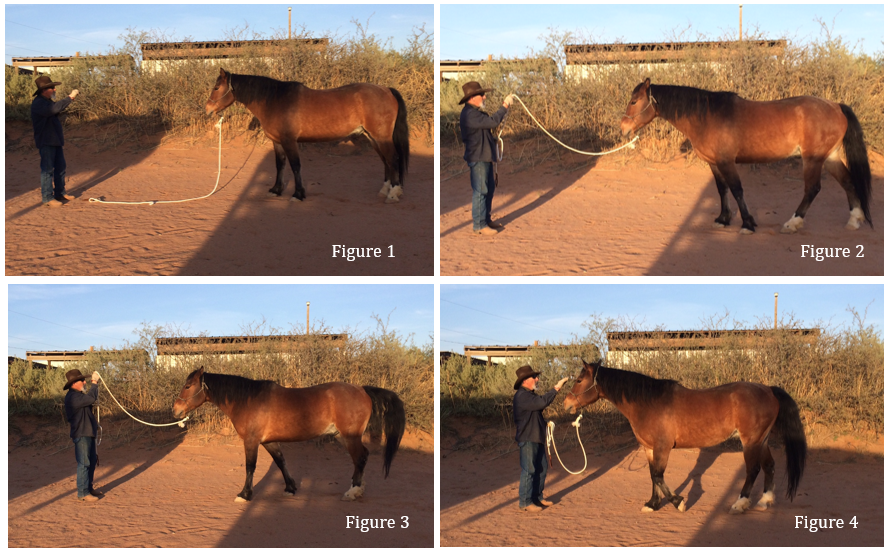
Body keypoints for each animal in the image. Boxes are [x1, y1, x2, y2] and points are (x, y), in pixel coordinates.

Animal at [172, 367, 405, 502]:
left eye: (188, 386)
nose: (175, 410)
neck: (248, 400)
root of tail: (362, 390)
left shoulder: (251, 441)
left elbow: (250, 467)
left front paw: (244, 494)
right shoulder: (269, 442)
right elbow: (281, 462)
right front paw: (290, 488)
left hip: (350, 436)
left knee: (361, 457)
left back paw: (353, 491)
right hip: (342, 435)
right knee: (361, 457)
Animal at [205, 68, 410, 204]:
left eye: (216, 87)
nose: (207, 108)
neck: (275, 101)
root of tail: (387, 90)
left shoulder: (289, 141)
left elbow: (295, 166)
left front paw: (298, 194)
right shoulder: (277, 142)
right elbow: (280, 165)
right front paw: (276, 190)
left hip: (381, 138)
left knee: (393, 159)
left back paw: (393, 194)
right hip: (373, 138)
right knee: (386, 161)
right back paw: (384, 190)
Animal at [564, 360, 806, 514]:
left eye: (579, 380)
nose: (566, 403)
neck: (647, 403)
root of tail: (768, 390)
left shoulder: (662, 447)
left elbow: (659, 476)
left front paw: (678, 502)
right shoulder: (649, 448)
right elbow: (652, 476)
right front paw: (652, 504)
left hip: (751, 441)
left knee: (753, 470)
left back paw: (740, 504)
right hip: (762, 441)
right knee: (769, 466)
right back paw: (765, 501)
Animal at [620, 78, 872, 234]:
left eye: (634, 101)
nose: (623, 128)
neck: (707, 117)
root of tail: (836, 106)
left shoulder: (726, 162)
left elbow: (736, 189)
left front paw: (747, 224)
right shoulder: (714, 163)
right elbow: (721, 189)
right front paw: (723, 219)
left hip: (813, 159)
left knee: (813, 189)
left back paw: (792, 223)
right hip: (830, 157)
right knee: (848, 182)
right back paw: (854, 220)